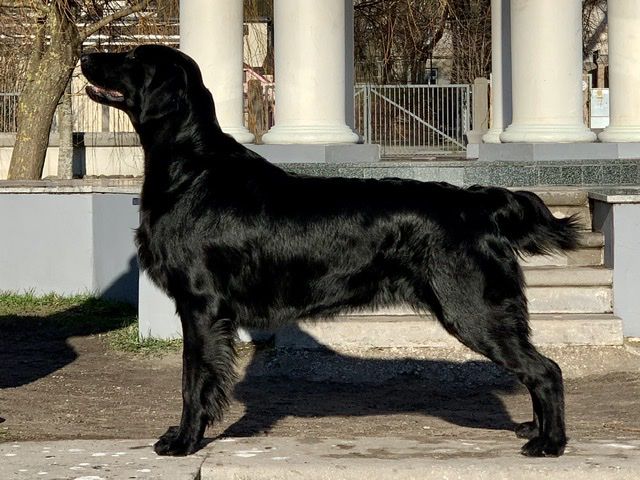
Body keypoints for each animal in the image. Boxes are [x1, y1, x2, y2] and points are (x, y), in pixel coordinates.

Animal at [81, 44, 580, 458]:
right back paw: (534, 431)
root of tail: (481, 202)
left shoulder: (201, 305)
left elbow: (193, 381)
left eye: (131, 57)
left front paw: (184, 441)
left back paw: (549, 443)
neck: (191, 166)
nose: (85, 55)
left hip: (474, 309)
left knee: (547, 369)